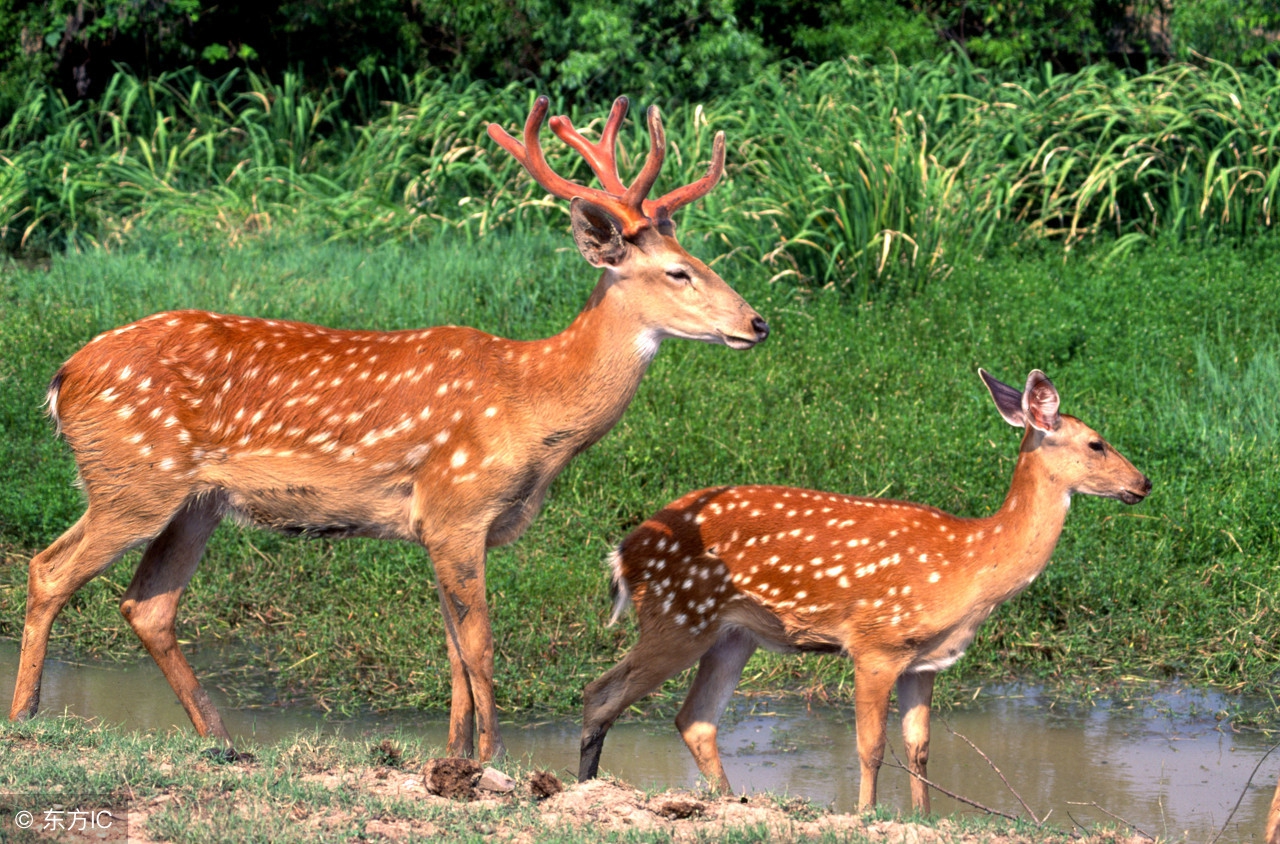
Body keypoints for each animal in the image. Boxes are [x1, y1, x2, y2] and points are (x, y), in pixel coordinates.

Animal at [8, 95, 769, 763]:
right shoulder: (458, 505)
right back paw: (26, 716)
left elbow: (453, 651)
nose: (757, 323)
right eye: (678, 271)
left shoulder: (436, 523)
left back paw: (222, 740)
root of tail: (64, 377)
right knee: (49, 568)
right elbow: (481, 645)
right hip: (132, 478)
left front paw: (454, 755)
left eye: (706, 262)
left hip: (196, 503)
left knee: (148, 605)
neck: (532, 408)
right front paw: (495, 760)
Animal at [578, 368, 1150, 812]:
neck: (970, 566)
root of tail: (622, 554)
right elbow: (871, 746)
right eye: (1097, 443)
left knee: (695, 719)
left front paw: (924, 819)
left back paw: (726, 800)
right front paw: (867, 815)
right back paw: (583, 792)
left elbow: (919, 747)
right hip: (678, 615)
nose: (1143, 483)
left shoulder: (924, 661)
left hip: (732, 635)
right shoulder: (876, 643)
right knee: (601, 691)